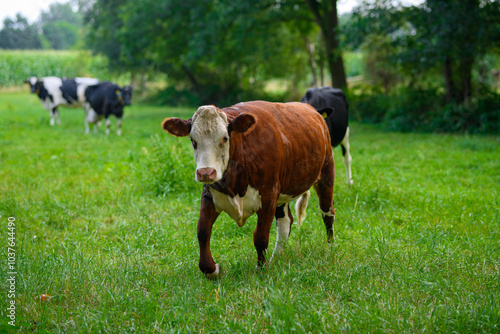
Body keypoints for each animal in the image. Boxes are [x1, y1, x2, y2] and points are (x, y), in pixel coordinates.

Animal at [163, 100, 336, 278]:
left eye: (225, 138)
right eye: (193, 140)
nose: (205, 173)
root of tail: (311, 108)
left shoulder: (268, 196)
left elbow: (260, 237)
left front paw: (261, 269)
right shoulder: (209, 196)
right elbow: (203, 232)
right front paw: (212, 269)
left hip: (326, 174)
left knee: (327, 212)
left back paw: (330, 247)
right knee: (285, 221)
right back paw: (277, 256)